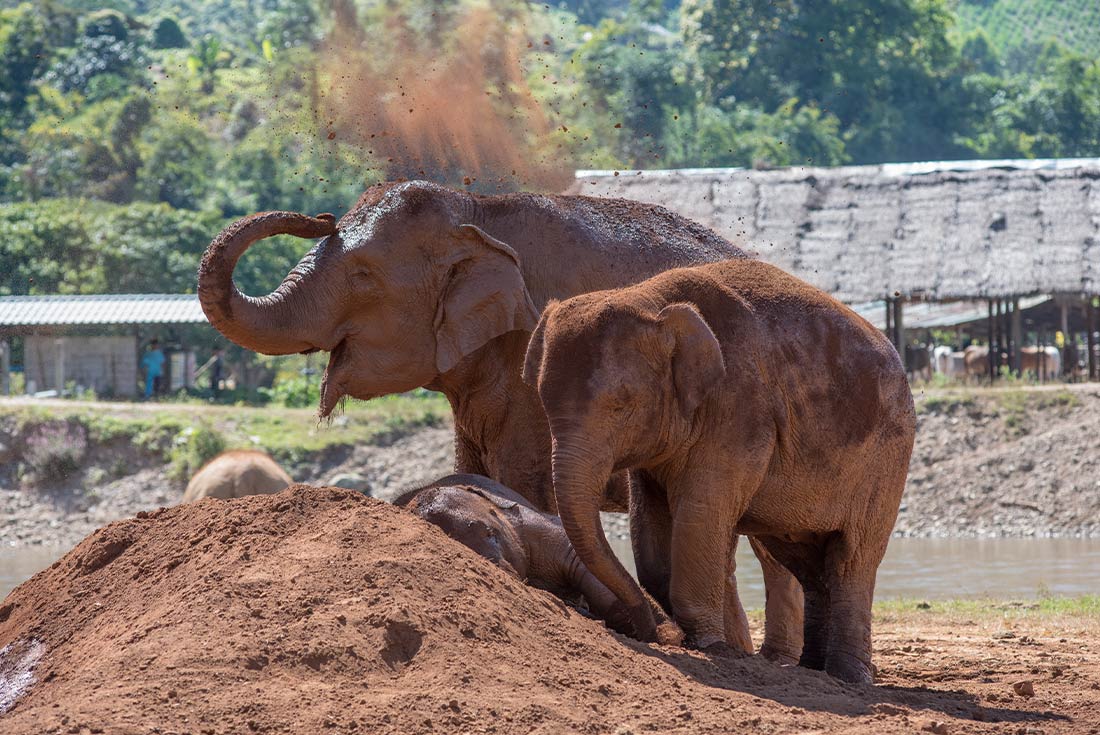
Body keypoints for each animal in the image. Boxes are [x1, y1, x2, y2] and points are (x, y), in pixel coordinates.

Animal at [522, 258, 916, 683]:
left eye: (622, 404)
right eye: (542, 401)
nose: (655, 633)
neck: (649, 298)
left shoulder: (739, 409)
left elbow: (700, 513)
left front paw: (710, 646)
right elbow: (649, 524)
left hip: (886, 462)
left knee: (850, 557)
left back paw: (847, 677)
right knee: (806, 562)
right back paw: (812, 669)